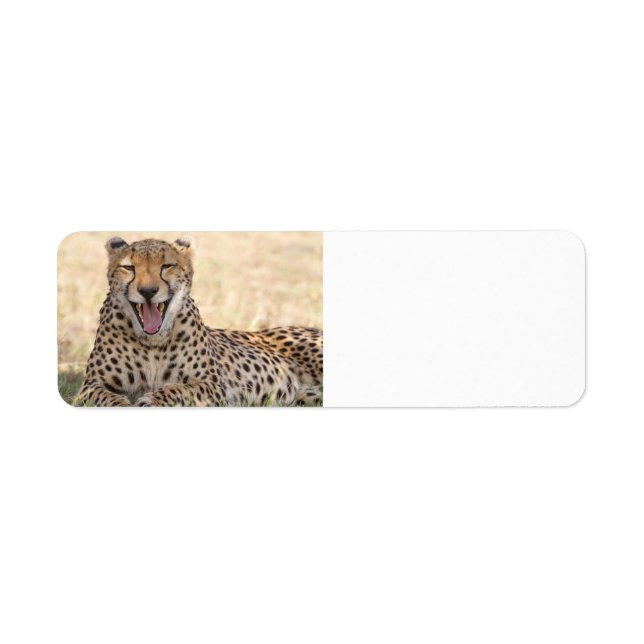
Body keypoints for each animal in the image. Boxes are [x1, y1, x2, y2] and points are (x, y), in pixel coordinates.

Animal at [77, 236, 323, 407]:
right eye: (129, 267)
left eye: (167, 266)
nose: (148, 291)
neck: (152, 342)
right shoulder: (90, 385)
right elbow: (107, 397)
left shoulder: (212, 385)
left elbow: (177, 389)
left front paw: (151, 400)